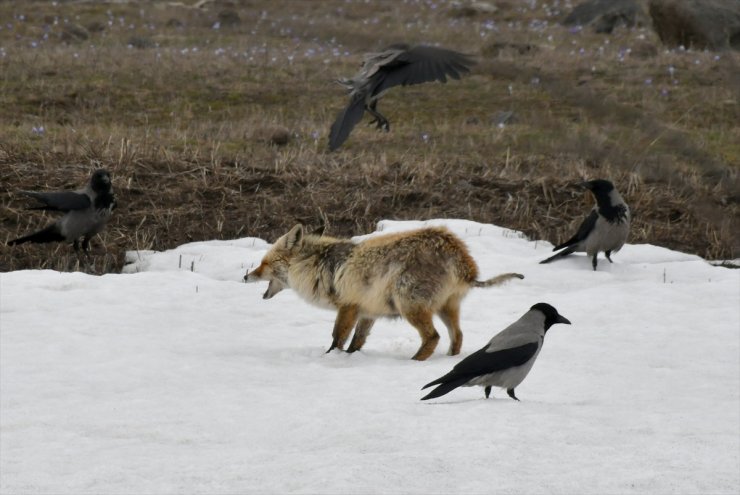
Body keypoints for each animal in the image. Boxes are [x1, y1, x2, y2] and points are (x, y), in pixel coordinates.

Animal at [246, 225, 524, 360]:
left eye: (264, 263)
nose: (246, 276)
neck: (319, 266)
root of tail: (461, 256)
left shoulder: (348, 306)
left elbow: (337, 338)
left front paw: (331, 358)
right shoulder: (367, 312)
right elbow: (356, 342)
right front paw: (350, 358)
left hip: (410, 306)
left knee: (433, 337)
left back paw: (414, 361)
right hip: (446, 309)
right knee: (457, 337)